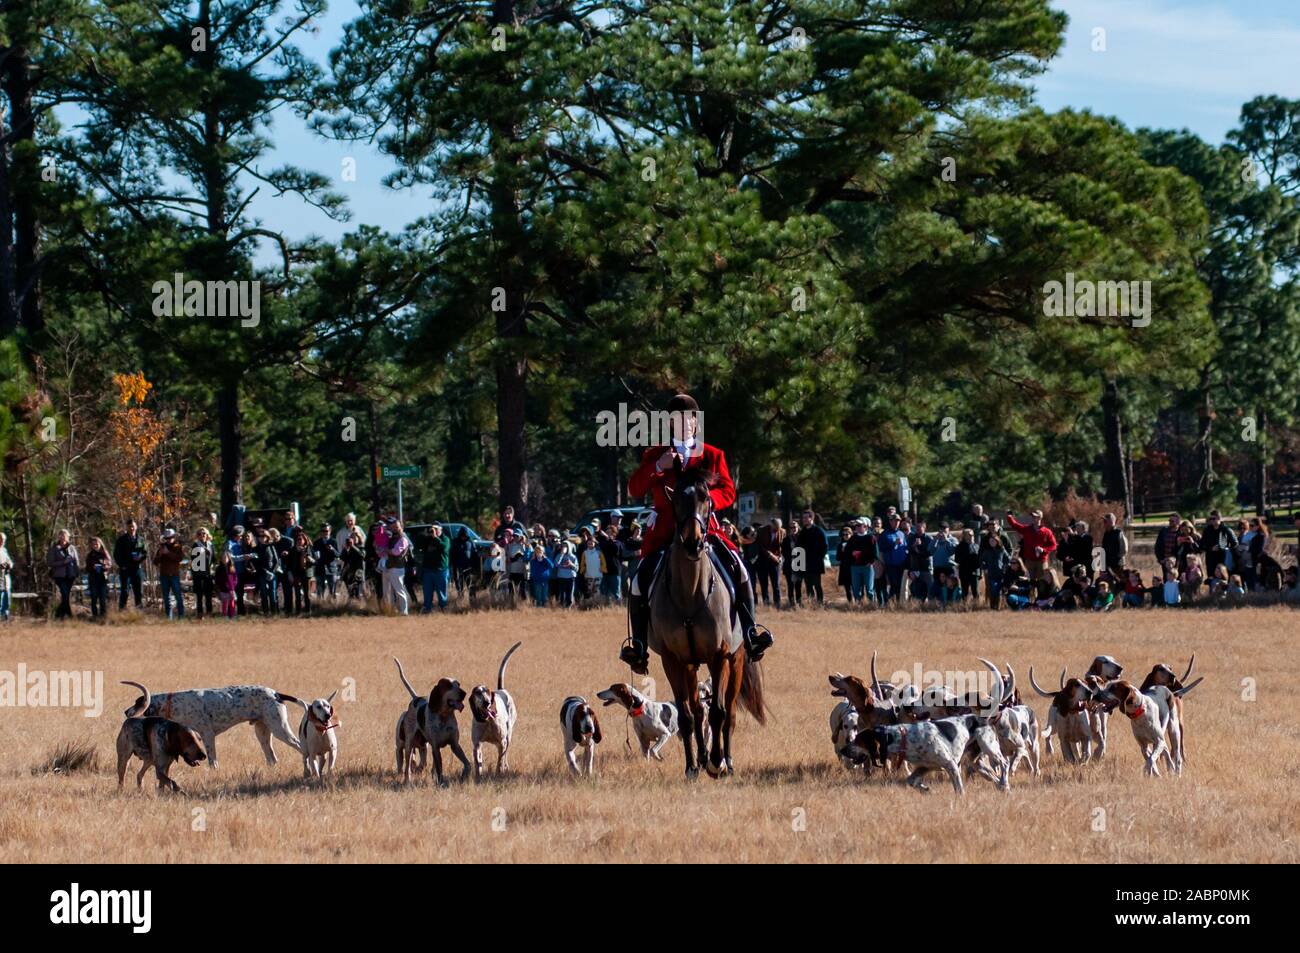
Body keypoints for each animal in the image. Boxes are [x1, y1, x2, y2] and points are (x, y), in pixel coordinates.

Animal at [650, 468, 759, 774]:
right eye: (676, 501)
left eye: (706, 500)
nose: (693, 542)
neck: (690, 592)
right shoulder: (673, 660)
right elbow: (686, 715)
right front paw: (692, 766)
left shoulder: (718, 656)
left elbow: (719, 713)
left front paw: (716, 762)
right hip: (690, 665)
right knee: (697, 710)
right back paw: (700, 757)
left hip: (737, 658)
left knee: (729, 711)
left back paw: (726, 761)